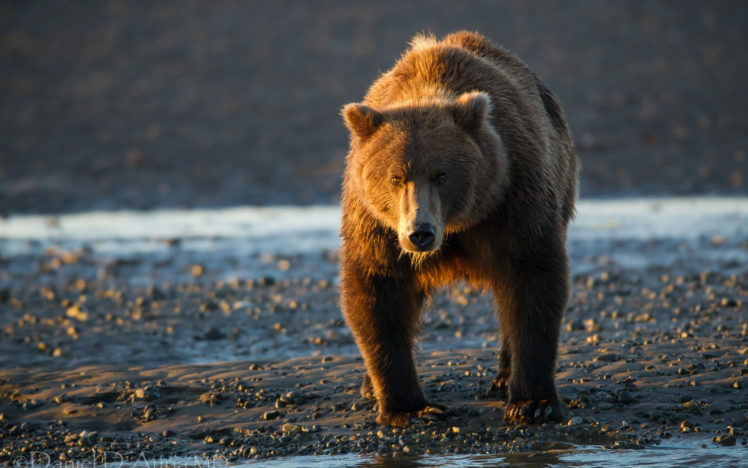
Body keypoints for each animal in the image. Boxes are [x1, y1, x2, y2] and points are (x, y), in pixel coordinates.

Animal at [339, 31, 578, 427]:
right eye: (395, 177)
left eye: (441, 175)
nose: (420, 232)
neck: (458, 225)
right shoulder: (376, 225)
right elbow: (377, 289)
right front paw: (409, 407)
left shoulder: (513, 196)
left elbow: (533, 278)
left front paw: (534, 403)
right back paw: (368, 385)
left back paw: (504, 378)